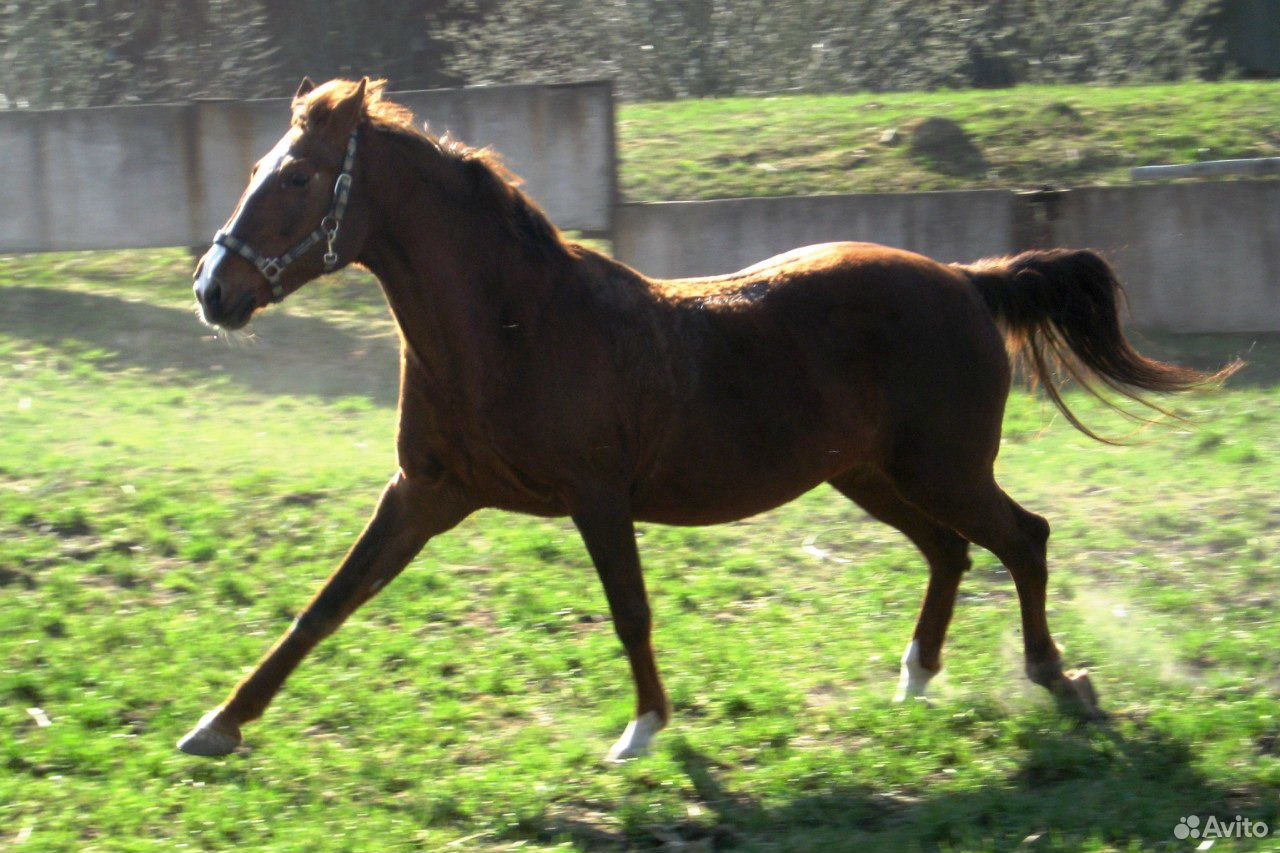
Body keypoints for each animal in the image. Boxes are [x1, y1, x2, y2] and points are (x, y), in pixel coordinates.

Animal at [183, 79, 1228, 758]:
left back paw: (1059, 678)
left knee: (1023, 537)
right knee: (953, 552)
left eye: (299, 178)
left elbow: (630, 611)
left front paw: (643, 731)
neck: (516, 328)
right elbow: (327, 602)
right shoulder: (425, 493)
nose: (213, 290)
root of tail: (969, 281)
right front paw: (216, 726)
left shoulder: (597, 496)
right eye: (262, 166)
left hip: (943, 468)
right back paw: (916, 677)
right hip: (870, 474)